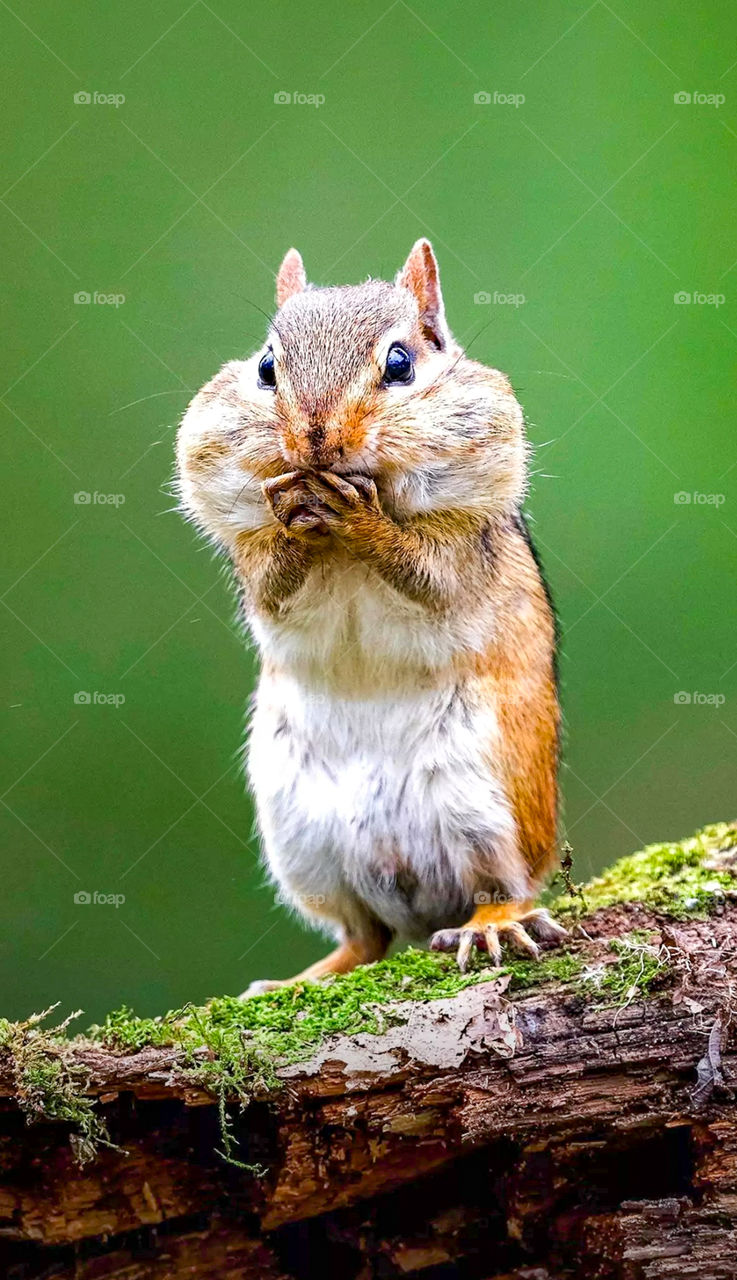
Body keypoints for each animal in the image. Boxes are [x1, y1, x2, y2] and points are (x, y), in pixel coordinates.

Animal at [177, 239, 566, 995]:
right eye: (266, 367)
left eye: (400, 364)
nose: (315, 438)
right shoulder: (249, 554)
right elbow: (269, 581)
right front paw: (294, 514)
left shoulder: (460, 544)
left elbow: (426, 572)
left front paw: (361, 519)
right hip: (301, 837)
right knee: (363, 936)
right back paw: (302, 979)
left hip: (490, 804)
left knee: (501, 886)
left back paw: (491, 924)